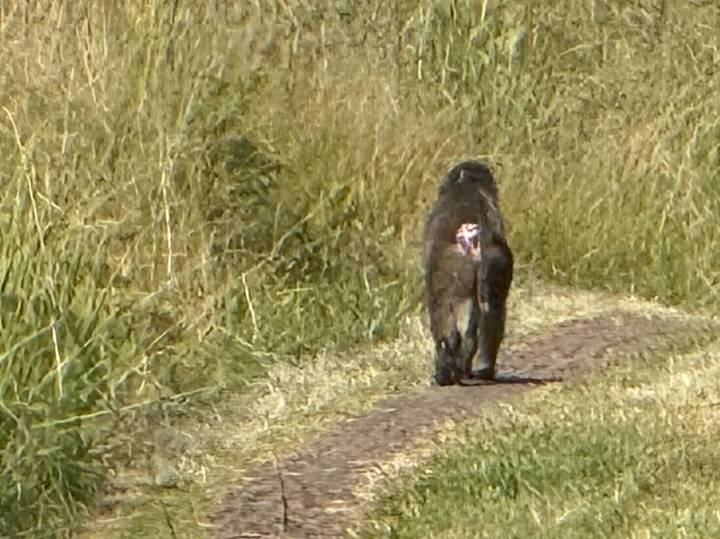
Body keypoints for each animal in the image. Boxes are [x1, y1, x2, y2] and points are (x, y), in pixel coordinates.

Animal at [423, 160, 513, 386]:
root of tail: (471, 234)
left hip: (452, 275)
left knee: (446, 326)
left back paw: (445, 373)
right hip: (497, 265)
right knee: (493, 314)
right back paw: (481, 369)